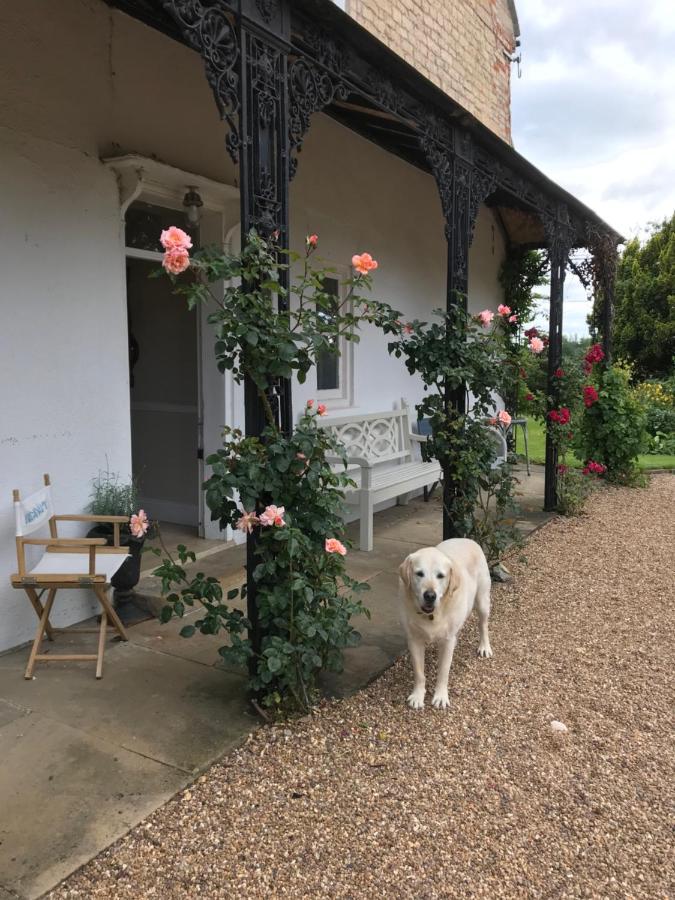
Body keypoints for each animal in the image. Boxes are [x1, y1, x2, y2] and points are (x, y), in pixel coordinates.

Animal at [398, 536, 494, 708]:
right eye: (419, 574)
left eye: (440, 576)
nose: (430, 595)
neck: (432, 614)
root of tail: (467, 539)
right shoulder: (414, 639)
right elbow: (419, 672)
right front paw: (418, 696)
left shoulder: (447, 641)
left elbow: (443, 671)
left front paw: (441, 697)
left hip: (483, 600)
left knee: (483, 625)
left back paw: (484, 647)